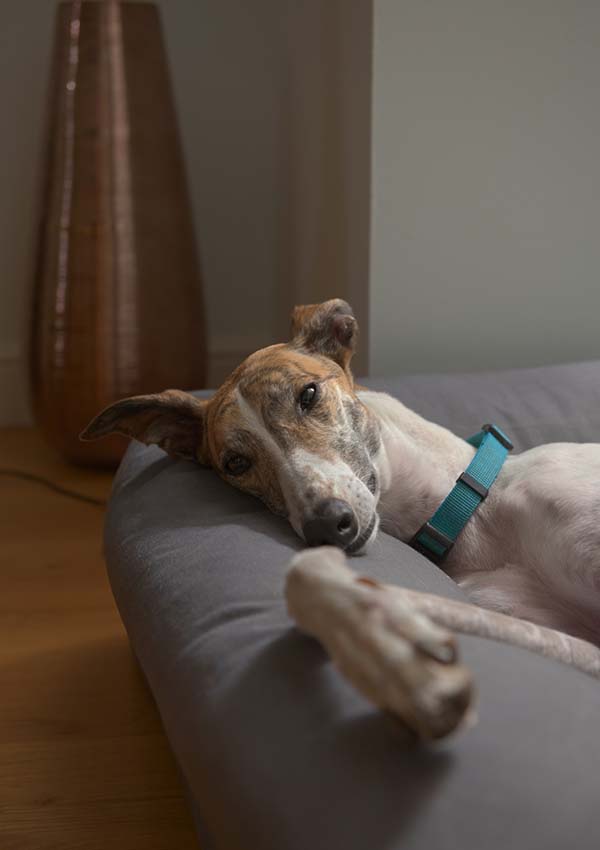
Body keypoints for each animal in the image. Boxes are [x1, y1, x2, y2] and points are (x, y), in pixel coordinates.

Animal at [83, 302, 600, 740]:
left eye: (309, 393)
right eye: (235, 463)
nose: (327, 526)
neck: (474, 511)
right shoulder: (569, 643)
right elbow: (305, 576)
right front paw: (401, 671)